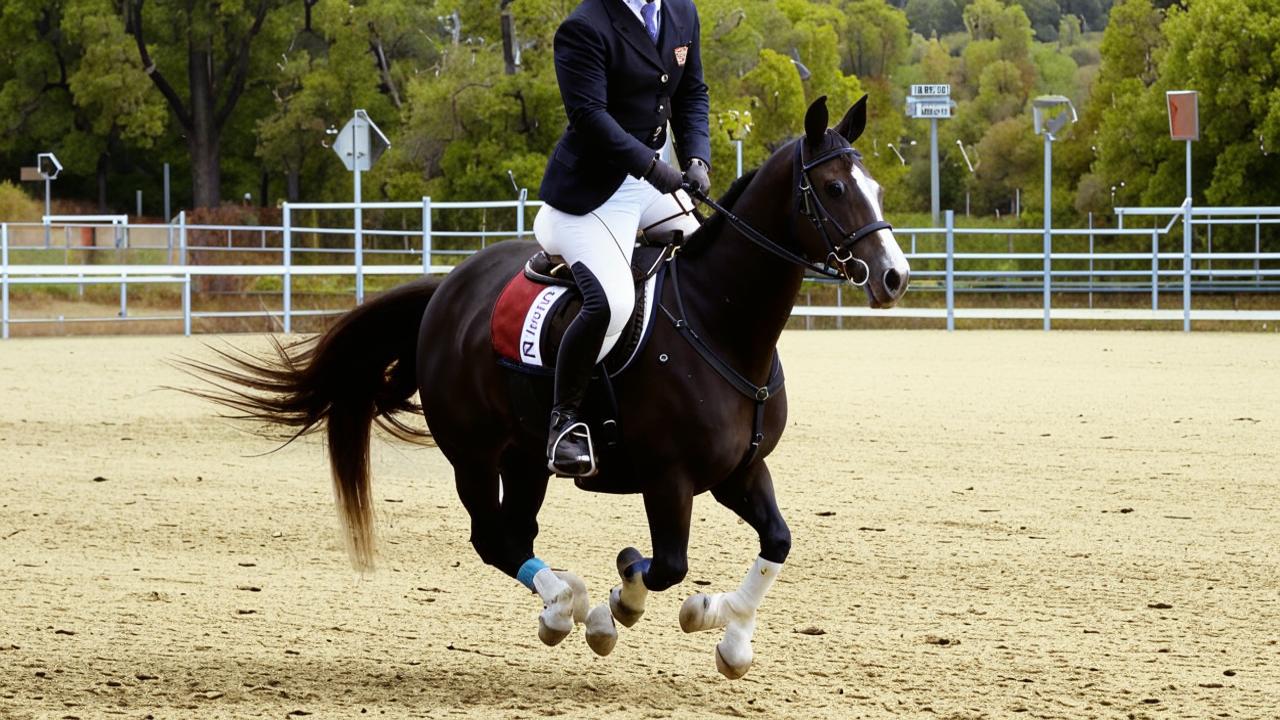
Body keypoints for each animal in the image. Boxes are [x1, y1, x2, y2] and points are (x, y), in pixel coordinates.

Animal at [189, 95, 911, 676]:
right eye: (834, 188)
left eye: (875, 186)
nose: (893, 277)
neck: (719, 321)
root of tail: (447, 289)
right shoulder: (669, 478)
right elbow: (664, 565)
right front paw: (633, 598)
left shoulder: (739, 470)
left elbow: (777, 543)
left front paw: (727, 635)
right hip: (474, 454)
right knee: (495, 538)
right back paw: (577, 611)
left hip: (525, 457)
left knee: (518, 533)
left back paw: (565, 608)